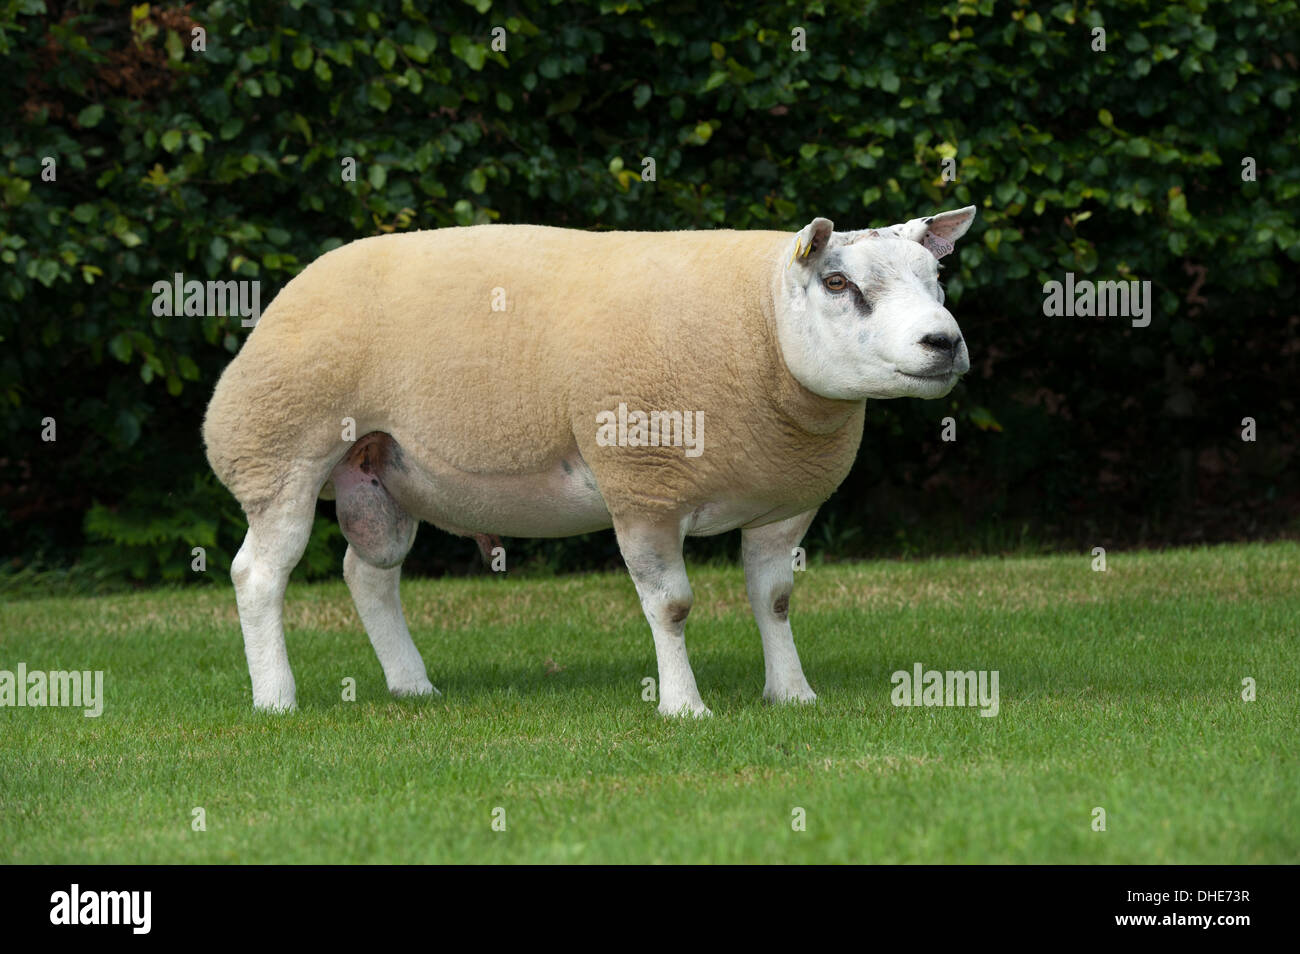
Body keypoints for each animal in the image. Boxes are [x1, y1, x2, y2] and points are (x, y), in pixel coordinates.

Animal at [202, 209, 977, 717]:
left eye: (935, 276)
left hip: (382, 475)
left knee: (368, 575)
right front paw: (684, 708)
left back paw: (411, 684)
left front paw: (792, 694)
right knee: (258, 575)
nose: (943, 343)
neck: (759, 321)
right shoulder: (643, 489)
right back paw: (276, 698)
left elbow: (775, 599)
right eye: (839, 283)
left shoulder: (783, 505)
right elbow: (671, 606)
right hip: (280, 449)